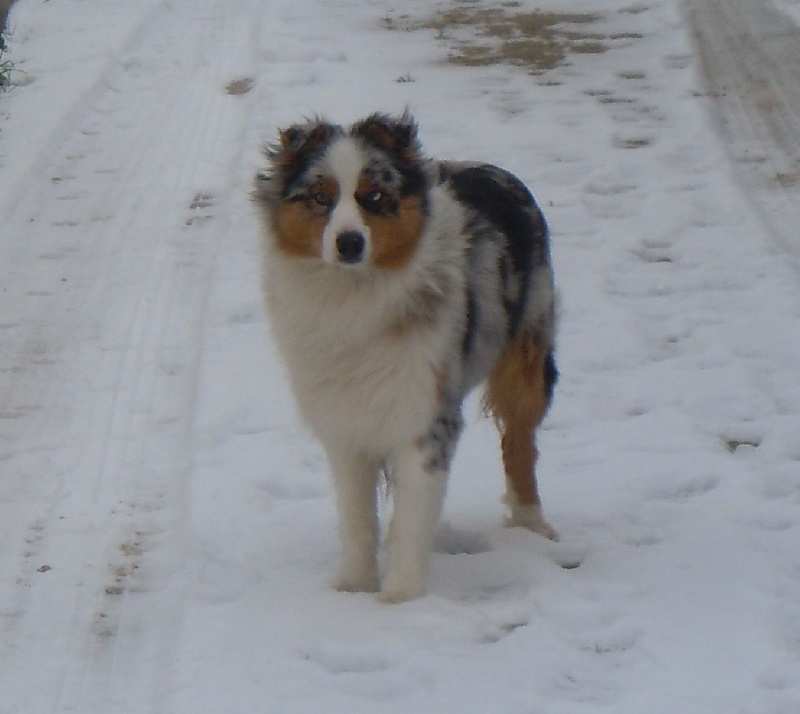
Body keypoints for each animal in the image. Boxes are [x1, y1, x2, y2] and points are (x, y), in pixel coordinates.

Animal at [253, 111, 560, 600]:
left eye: (375, 196)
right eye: (321, 198)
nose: (350, 243)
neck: (355, 297)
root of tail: (499, 172)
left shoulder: (426, 413)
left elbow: (412, 518)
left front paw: (400, 601)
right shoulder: (343, 419)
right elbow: (357, 517)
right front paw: (352, 590)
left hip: (527, 358)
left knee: (519, 443)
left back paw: (532, 525)